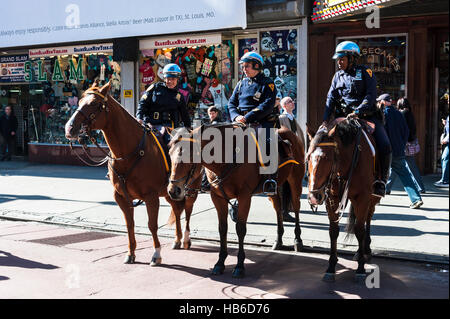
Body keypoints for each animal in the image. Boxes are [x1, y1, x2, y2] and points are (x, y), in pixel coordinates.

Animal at [65, 81, 200, 266]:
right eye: (79, 102)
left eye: (94, 103)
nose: (69, 128)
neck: (130, 152)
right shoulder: (121, 196)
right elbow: (129, 224)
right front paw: (131, 253)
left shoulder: (151, 197)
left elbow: (152, 225)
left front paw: (156, 254)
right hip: (170, 192)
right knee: (177, 210)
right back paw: (177, 239)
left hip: (189, 189)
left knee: (187, 210)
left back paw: (185, 239)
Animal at [166, 124, 306, 278]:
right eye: (169, 153)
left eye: (188, 154)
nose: (173, 190)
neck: (226, 158)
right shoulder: (218, 198)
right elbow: (222, 229)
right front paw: (220, 263)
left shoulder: (244, 197)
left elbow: (240, 229)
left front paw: (239, 265)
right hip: (273, 188)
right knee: (278, 208)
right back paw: (278, 240)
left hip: (295, 181)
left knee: (297, 206)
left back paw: (298, 240)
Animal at [306, 118, 380, 282]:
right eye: (307, 157)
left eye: (327, 158)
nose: (314, 196)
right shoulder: (331, 198)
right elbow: (333, 231)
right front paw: (331, 267)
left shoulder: (363, 197)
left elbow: (359, 230)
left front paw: (360, 268)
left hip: (371, 198)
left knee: (368, 217)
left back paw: (366, 250)